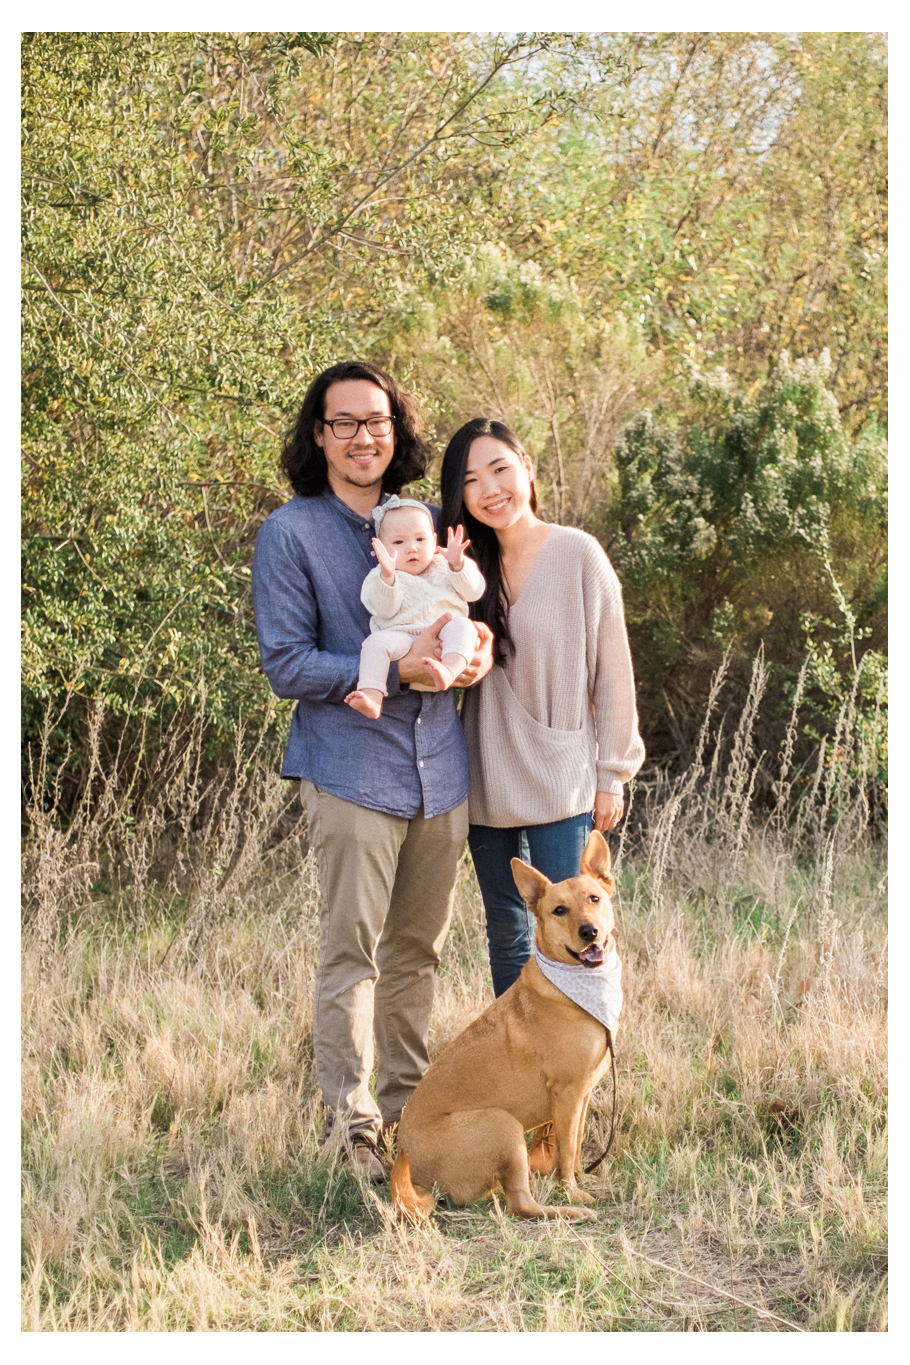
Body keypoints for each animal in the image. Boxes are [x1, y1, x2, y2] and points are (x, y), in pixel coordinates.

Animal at [392, 824, 619, 1223]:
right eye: (559, 910)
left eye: (594, 899)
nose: (589, 932)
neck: (576, 989)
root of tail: (411, 1166)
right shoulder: (568, 1094)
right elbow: (565, 1153)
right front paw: (572, 1190)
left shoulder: (583, 1094)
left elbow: (574, 1146)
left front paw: (580, 1178)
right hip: (503, 1123)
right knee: (522, 1205)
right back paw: (570, 1211)